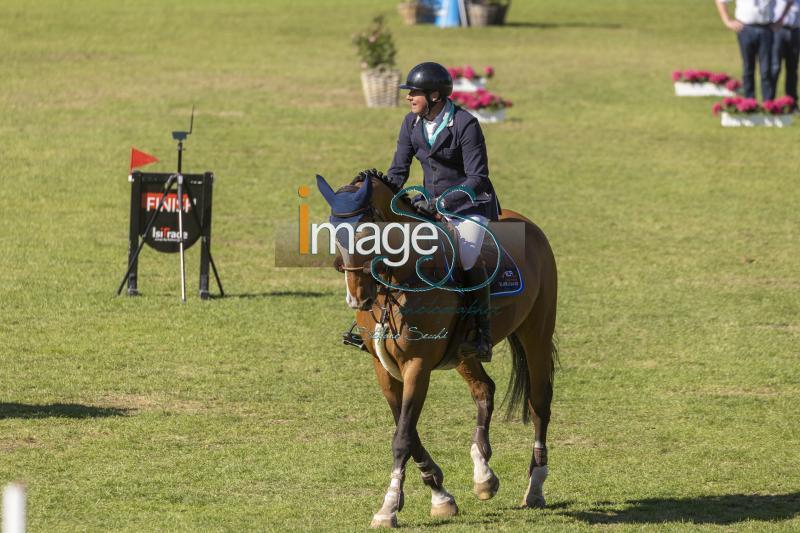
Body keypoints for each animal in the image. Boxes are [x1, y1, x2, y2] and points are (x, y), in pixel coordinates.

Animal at [316, 171, 560, 528]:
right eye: (333, 233)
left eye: (367, 231)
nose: (357, 297)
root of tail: (528, 224)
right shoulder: (383, 369)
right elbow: (407, 429)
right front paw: (440, 495)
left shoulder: (417, 364)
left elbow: (403, 437)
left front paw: (388, 507)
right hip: (463, 354)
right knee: (484, 389)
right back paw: (483, 475)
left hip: (536, 334)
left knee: (539, 402)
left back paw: (536, 487)